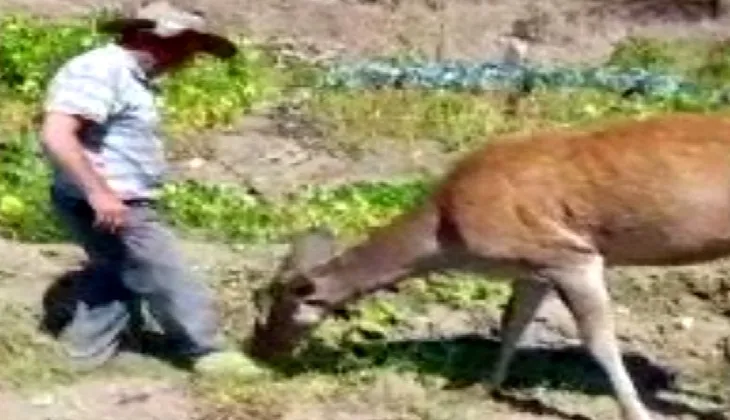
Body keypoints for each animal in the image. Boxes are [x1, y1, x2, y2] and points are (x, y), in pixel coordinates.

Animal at [246, 111, 730, 420]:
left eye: (274, 307)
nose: (258, 352)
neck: (448, 234)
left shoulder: (571, 254)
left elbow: (598, 339)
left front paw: (636, 412)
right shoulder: (532, 267)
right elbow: (511, 323)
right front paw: (484, 387)